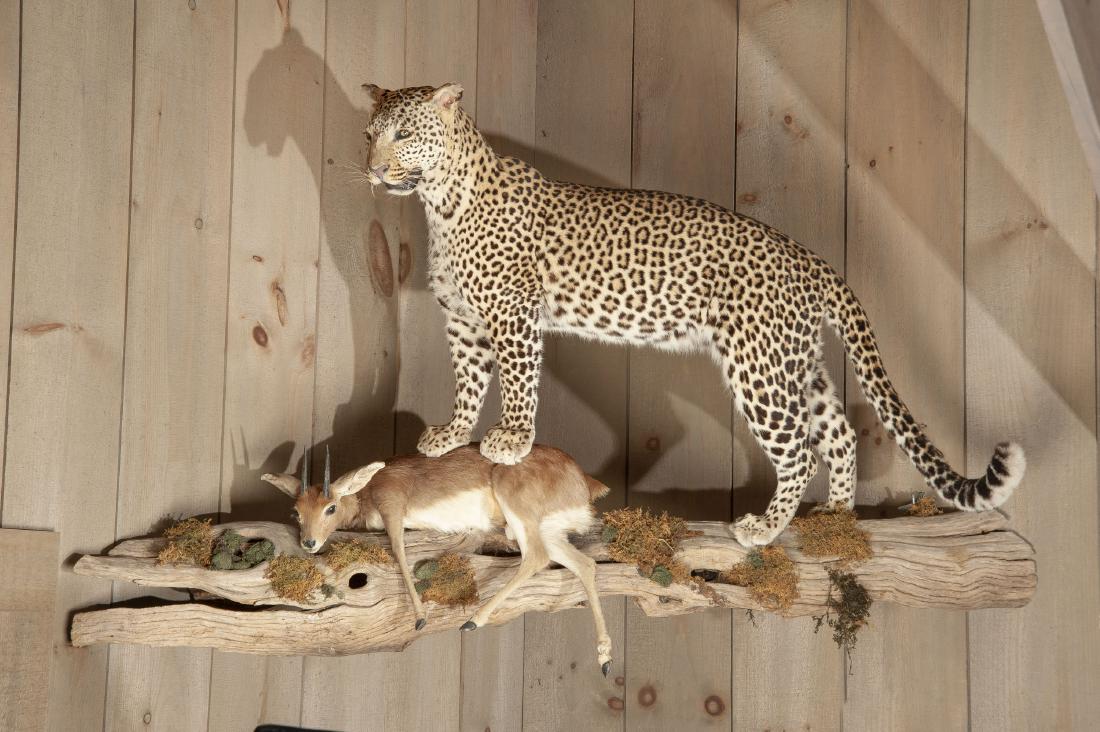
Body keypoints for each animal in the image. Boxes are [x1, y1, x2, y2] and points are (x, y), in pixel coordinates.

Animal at [358, 82, 1026, 547]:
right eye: (369, 133)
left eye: (405, 134)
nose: (372, 169)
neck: (439, 201)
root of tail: (811, 258)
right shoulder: (463, 321)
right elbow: (469, 382)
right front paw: (452, 435)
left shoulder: (511, 314)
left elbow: (518, 379)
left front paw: (511, 440)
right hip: (797, 363)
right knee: (837, 432)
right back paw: (834, 517)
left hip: (757, 367)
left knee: (800, 449)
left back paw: (764, 528)